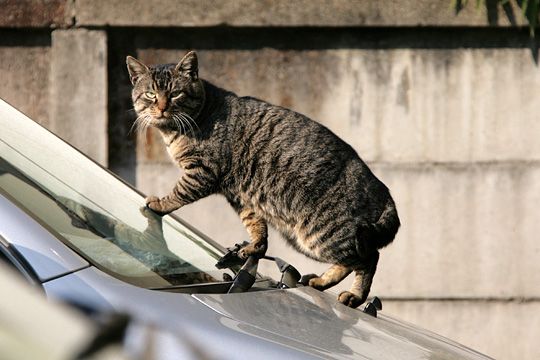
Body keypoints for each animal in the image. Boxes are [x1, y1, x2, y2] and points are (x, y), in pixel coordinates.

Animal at [125, 52, 396, 308]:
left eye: (175, 94)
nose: (161, 107)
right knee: (353, 260)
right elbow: (256, 227)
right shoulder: (240, 196)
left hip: (321, 235)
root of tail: (386, 196)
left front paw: (159, 203)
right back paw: (321, 281)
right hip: (305, 238)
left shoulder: (201, 172)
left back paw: (355, 295)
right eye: (150, 94)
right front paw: (254, 247)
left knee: (369, 258)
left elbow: (177, 194)